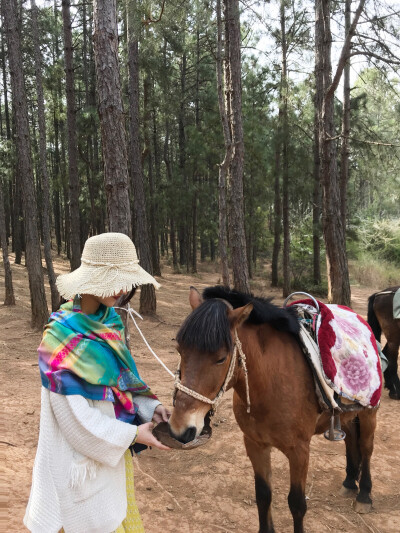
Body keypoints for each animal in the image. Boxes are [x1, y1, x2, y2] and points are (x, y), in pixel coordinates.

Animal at [169, 286, 378, 532]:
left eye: (221, 358)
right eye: (180, 349)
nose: (180, 428)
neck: (270, 383)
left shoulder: (299, 451)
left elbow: (297, 504)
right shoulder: (255, 444)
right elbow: (263, 495)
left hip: (369, 412)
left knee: (366, 447)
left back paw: (364, 494)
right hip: (347, 415)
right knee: (351, 438)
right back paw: (349, 482)